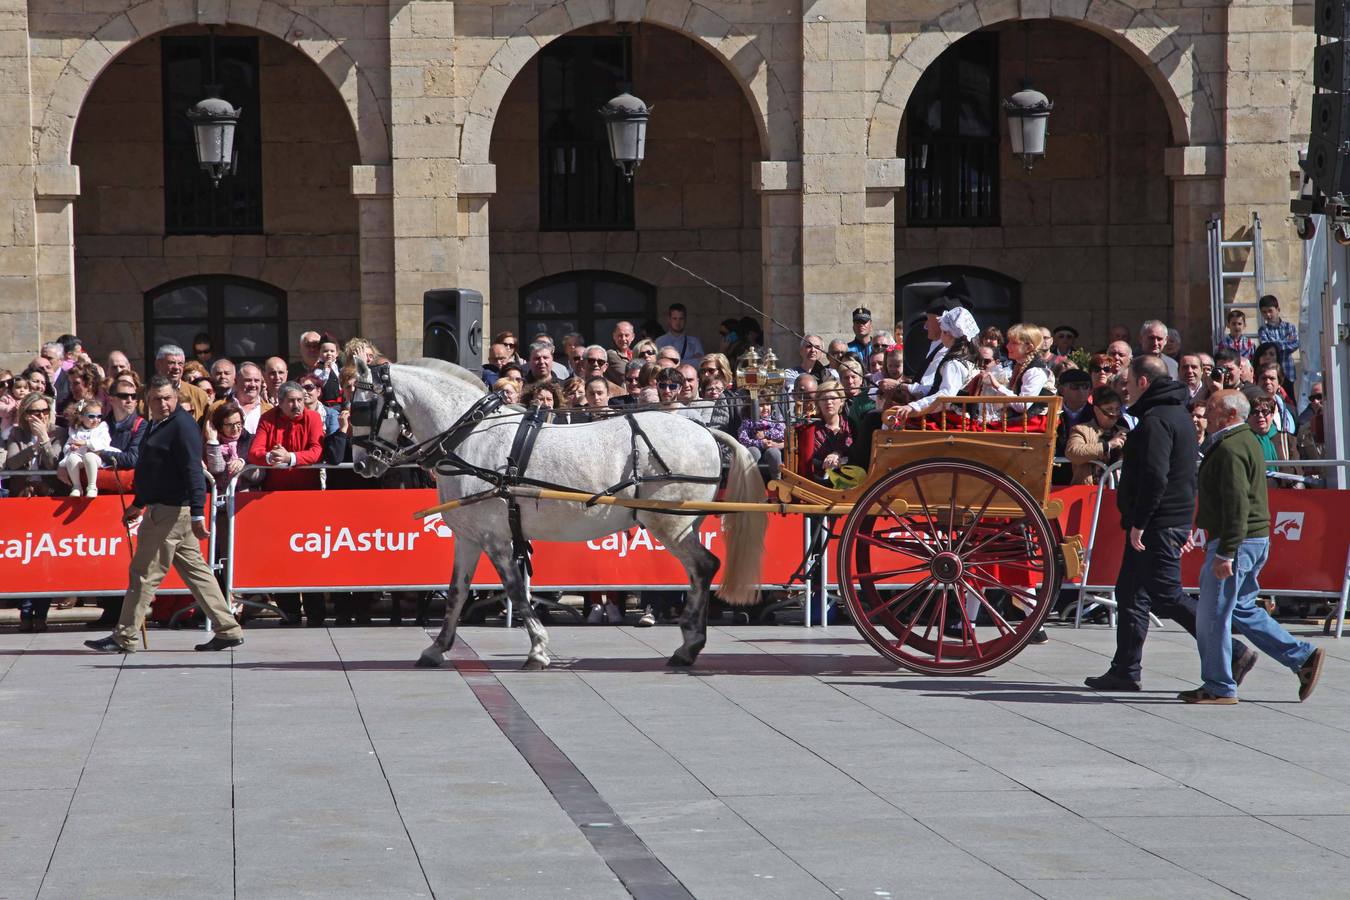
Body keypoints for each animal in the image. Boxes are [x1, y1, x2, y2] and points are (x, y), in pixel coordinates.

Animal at [348, 358, 772, 669]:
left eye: (362, 406)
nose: (362, 465)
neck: (471, 438)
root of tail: (702, 430)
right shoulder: (470, 535)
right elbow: (456, 592)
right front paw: (437, 647)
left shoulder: (496, 538)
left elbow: (516, 591)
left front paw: (537, 649)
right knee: (702, 569)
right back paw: (689, 644)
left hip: (670, 522)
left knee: (704, 567)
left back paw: (689, 645)